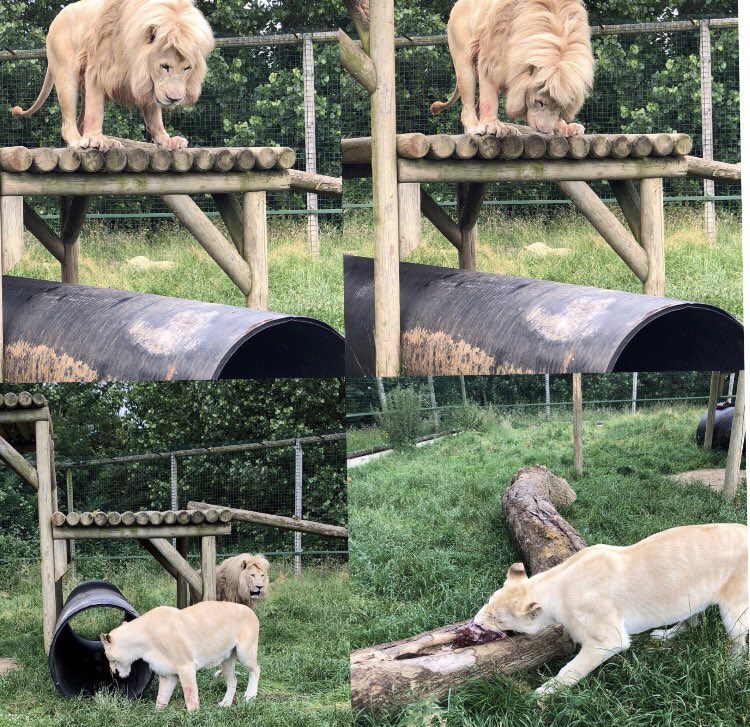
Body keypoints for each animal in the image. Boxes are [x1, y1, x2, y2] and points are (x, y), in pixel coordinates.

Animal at [12, 0, 214, 151]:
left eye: (187, 68)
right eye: (164, 66)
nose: (174, 99)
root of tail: (55, 21)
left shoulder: (147, 83)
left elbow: (155, 117)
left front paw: (167, 141)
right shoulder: (97, 69)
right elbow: (95, 112)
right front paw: (95, 140)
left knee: (80, 120)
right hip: (66, 74)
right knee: (68, 121)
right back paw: (79, 141)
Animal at [430, 0, 594, 137]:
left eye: (561, 107)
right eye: (539, 102)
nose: (545, 131)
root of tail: (457, 4)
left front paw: (565, 127)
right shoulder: (489, 59)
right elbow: (489, 100)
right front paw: (490, 126)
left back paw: (506, 128)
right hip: (464, 63)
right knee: (468, 107)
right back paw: (476, 128)